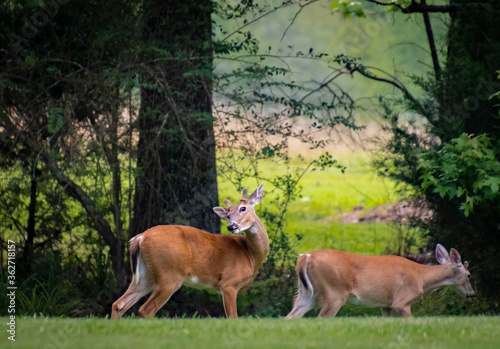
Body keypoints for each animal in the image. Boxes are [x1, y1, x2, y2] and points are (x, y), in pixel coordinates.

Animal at [111, 184, 270, 320]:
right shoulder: (228, 283)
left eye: (243, 208)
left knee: (119, 304)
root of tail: (139, 238)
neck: (250, 254)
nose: (231, 226)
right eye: (228, 215)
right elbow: (233, 316)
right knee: (145, 310)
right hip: (169, 274)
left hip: (145, 275)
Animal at [286, 243, 472, 316]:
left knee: (291, 316)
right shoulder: (402, 300)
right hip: (335, 292)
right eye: (469, 274)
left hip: (306, 293)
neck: (421, 276)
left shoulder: (386, 304)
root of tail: (306, 256)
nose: (472, 294)